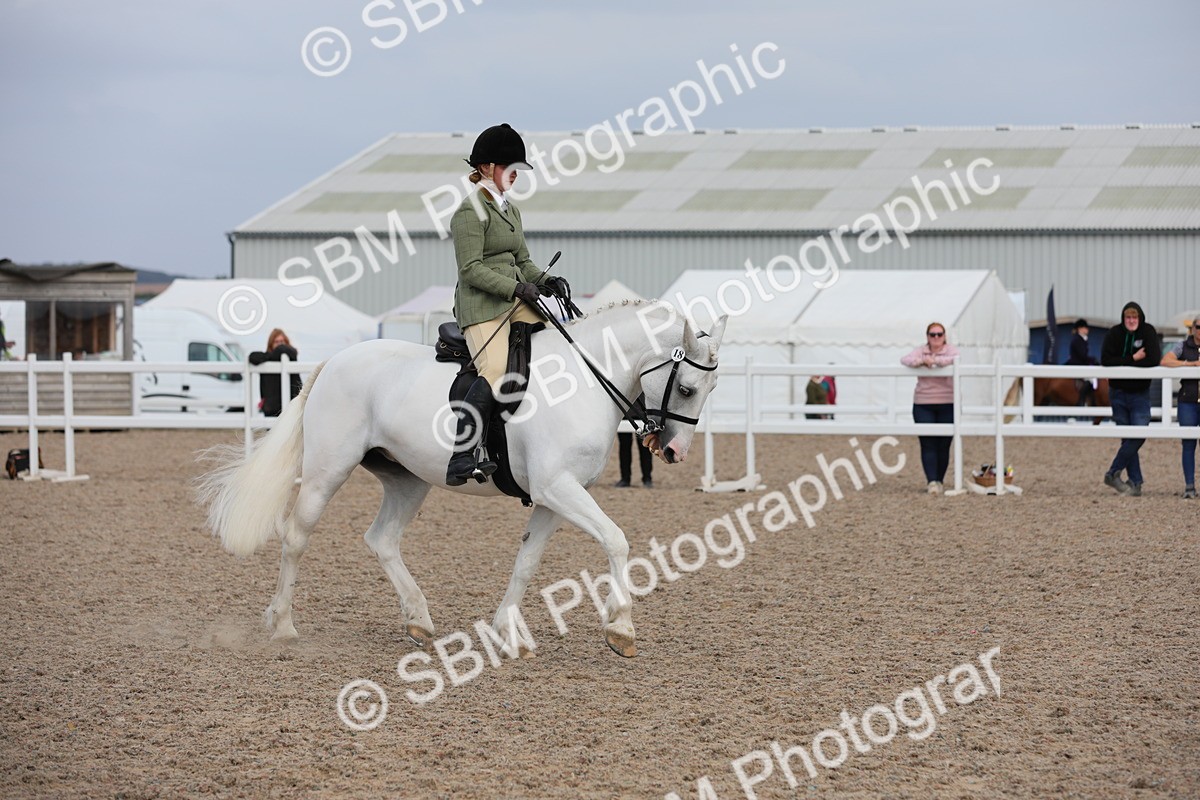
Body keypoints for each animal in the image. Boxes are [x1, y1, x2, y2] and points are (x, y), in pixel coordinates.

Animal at [198, 301, 727, 658]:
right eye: (686, 388)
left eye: (712, 387)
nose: (674, 450)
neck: (582, 378)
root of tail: (335, 362)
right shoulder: (558, 489)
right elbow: (616, 540)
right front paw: (621, 629)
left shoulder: (553, 498)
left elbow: (526, 563)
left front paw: (506, 633)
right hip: (327, 472)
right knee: (296, 537)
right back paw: (283, 624)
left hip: (409, 481)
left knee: (382, 539)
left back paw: (419, 620)